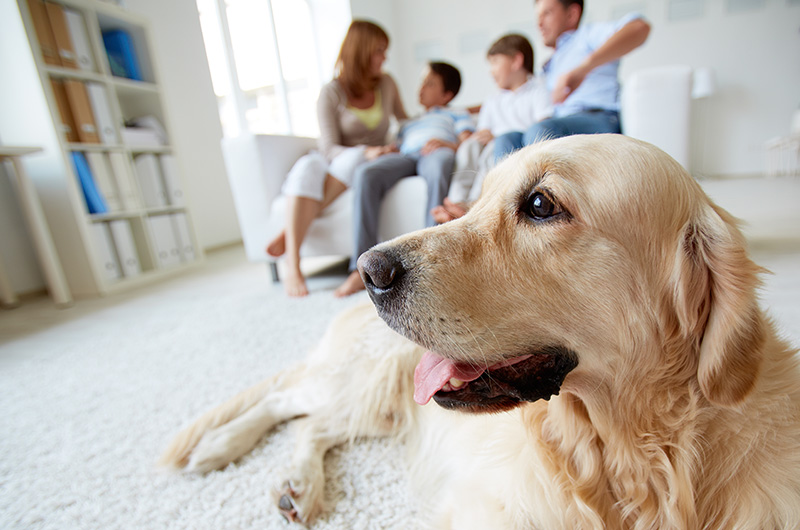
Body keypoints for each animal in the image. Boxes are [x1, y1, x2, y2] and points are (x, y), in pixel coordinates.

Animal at [162, 134, 800, 524]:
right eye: (478, 199)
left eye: (541, 204)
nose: (367, 270)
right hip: (368, 381)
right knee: (288, 401)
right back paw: (224, 447)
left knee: (312, 423)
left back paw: (294, 484)